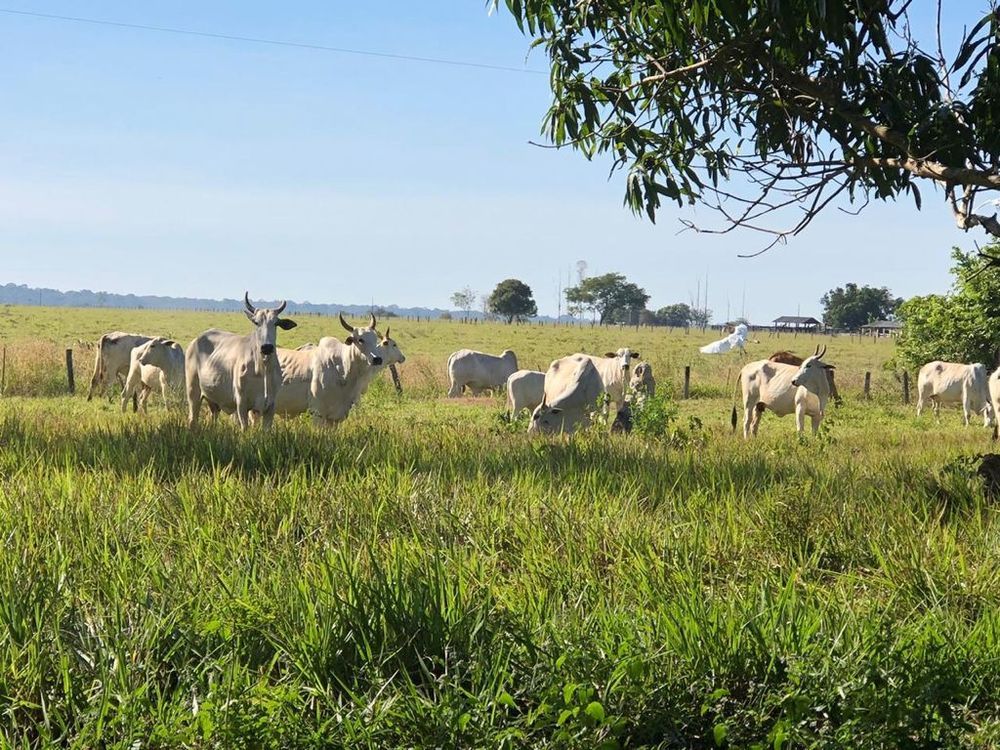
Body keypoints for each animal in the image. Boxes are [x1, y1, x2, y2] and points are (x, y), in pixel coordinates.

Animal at [186, 296, 296, 432]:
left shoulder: (270, 406)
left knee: (213, 416)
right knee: (192, 419)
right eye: (256, 322)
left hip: (213, 400)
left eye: (276, 323)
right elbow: (244, 428)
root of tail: (195, 341)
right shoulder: (242, 403)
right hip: (193, 392)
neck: (263, 369)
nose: (266, 347)